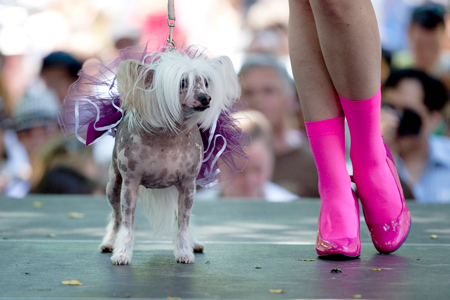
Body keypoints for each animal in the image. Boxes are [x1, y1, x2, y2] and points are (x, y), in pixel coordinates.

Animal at [96, 47, 241, 264]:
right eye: (182, 82)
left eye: (205, 82)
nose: (206, 98)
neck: (169, 136)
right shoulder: (130, 184)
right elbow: (127, 223)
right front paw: (122, 253)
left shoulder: (188, 185)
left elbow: (183, 224)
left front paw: (184, 251)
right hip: (113, 186)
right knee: (116, 217)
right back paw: (110, 242)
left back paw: (193, 242)